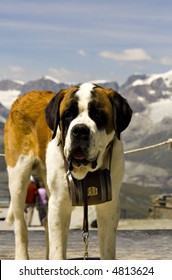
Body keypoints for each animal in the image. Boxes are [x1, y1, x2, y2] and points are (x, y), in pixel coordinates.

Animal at [4, 82, 132, 260]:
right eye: (68, 115)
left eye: (98, 115)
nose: (80, 130)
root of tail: (23, 97)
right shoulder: (60, 204)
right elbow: (58, 249)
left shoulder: (109, 207)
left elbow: (107, 249)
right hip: (18, 176)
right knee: (20, 222)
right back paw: (22, 255)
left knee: (45, 222)